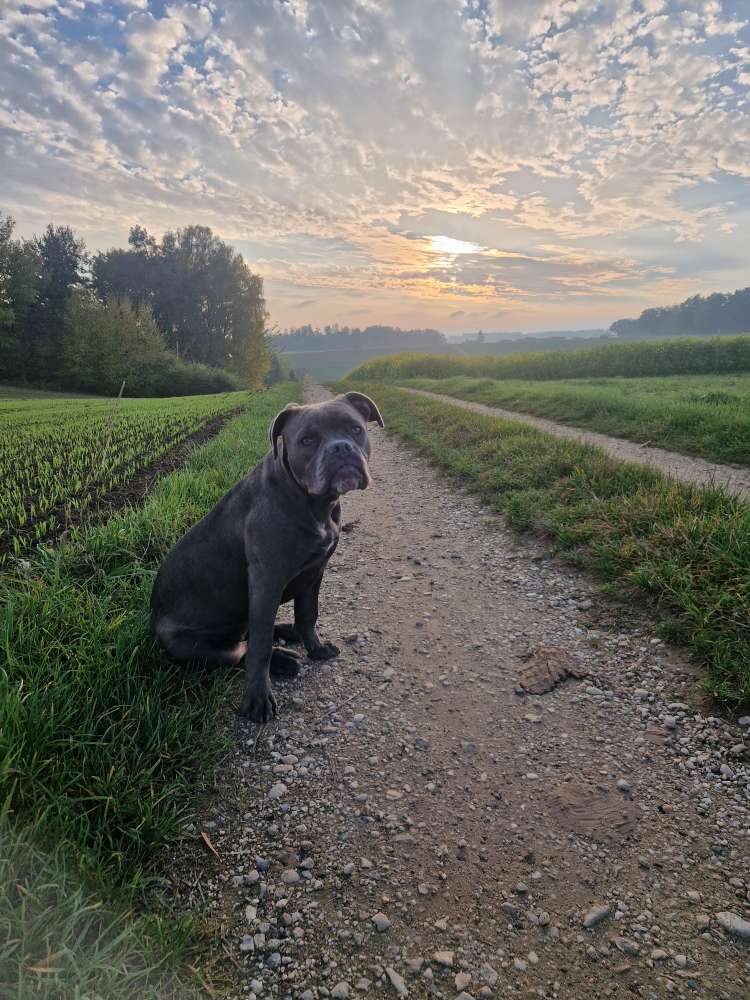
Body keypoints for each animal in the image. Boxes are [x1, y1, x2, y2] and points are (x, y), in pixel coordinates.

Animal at [151, 388, 384, 720]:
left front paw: (316, 648)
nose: (340, 447)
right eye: (307, 440)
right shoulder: (266, 581)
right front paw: (258, 699)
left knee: (251, 632)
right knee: (241, 650)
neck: (313, 503)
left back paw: (287, 632)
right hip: (189, 643)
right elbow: (258, 649)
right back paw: (282, 659)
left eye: (355, 429)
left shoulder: (315, 573)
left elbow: (308, 615)